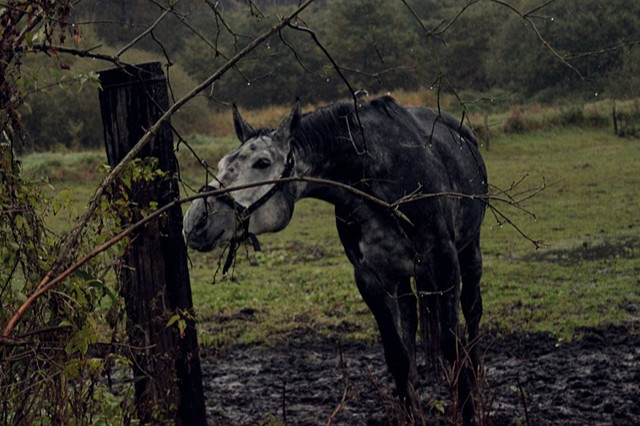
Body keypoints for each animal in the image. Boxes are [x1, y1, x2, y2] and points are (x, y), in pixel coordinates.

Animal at [182, 96, 488, 422]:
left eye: (262, 163)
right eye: (222, 163)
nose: (196, 221)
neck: (382, 180)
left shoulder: (445, 267)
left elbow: (452, 349)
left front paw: (469, 412)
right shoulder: (370, 279)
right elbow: (397, 355)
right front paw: (410, 413)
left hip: (469, 254)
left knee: (472, 313)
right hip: (402, 278)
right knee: (409, 319)